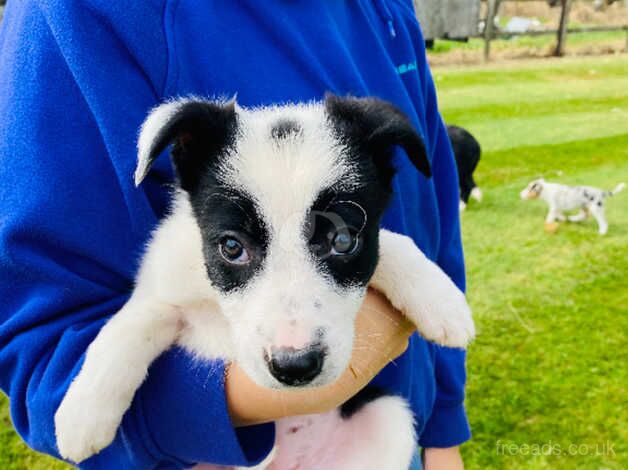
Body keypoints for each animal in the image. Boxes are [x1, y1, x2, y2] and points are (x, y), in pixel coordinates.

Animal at [55, 95, 476, 466]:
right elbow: (129, 326)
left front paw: (444, 303)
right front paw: (82, 413)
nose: (296, 366)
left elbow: (391, 242)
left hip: (389, 416)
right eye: (231, 247)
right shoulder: (166, 283)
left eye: (342, 241)